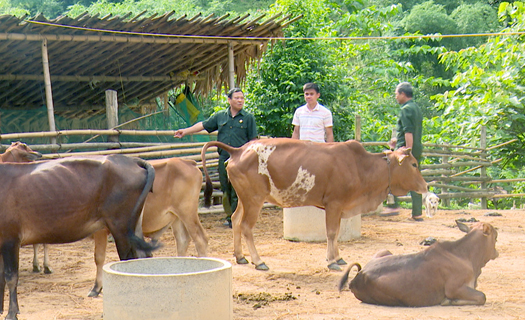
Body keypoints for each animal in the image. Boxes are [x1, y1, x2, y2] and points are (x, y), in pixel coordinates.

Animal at [0, 155, 156, 320]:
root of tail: (130, 160)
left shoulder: (10, 239)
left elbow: (10, 277)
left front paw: (11, 313)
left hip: (120, 227)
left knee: (128, 262)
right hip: (134, 225)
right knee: (144, 256)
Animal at [87, 158, 208, 298]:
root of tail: (187, 161)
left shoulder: (100, 229)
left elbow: (99, 256)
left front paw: (96, 288)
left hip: (187, 212)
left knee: (200, 239)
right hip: (176, 217)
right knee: (182, 240)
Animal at [200, 139, 426, 272]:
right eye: (414, 164)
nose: (425, 185)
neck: (360, 167)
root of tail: (239, 150)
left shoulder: (339, 207)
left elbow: (335, 234)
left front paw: (338, 257)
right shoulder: (334, 204)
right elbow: (332, 232)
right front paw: (332, 261)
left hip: (245, 199)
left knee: (236, 220)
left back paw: (240, 256)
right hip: (254, 199)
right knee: (246, 226)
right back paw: (258, 261)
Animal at [338, 220, 498, 308]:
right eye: (495, 237)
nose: (496, 252)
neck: (466, 255)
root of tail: (359, 275)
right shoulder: (454, 288)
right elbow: (482, 296)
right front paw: (448, 301)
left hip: (384, 251)